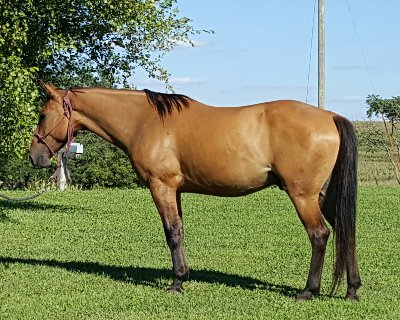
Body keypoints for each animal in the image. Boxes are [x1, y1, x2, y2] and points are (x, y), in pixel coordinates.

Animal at [27, 82, 360, 300]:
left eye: (42, 115)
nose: (34, 157)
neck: (145, 121)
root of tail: (330, 116)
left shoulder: (161, 186)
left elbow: (172, 233)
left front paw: (176, 283)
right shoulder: (176, 190)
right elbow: (180, 231)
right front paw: (184, 274)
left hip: (303, 196)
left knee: (320, 235)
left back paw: (308, 291)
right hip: (325, 196)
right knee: (346, 232)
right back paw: (352, 289)